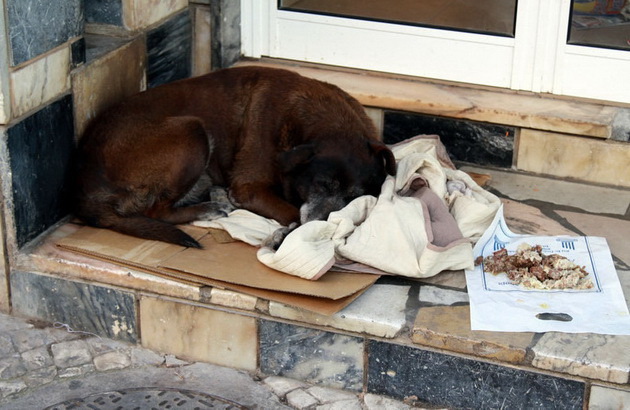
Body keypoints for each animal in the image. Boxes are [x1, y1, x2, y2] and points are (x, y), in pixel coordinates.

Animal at [74, 65, 398, 248]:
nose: (324, 223)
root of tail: (84, 188)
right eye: (321, 184)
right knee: (156, 210)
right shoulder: (249, 188)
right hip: (192, 131)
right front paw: (286, 233)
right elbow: (293, 212)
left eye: (354, 197)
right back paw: (206, 209)